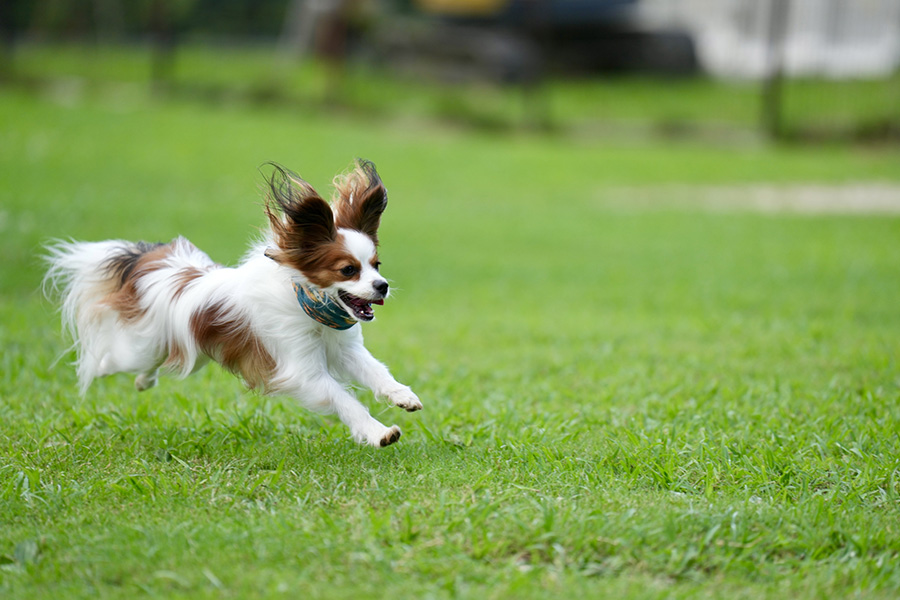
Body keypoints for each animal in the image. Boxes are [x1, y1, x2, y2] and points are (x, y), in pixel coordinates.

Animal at [47, 159, 428, 446]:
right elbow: (346, 401)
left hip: (188, 351)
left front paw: (402, 395)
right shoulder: (303, 371)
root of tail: (158, 264)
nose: (382, 286)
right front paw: (378, 432)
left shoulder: (345, 351)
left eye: (377, 265)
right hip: (140, 346)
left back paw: (144, 381)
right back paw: (98, 369)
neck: (310, 309)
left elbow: (378, 373)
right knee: (111, 359)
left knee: (155, 365)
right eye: (348, 270)